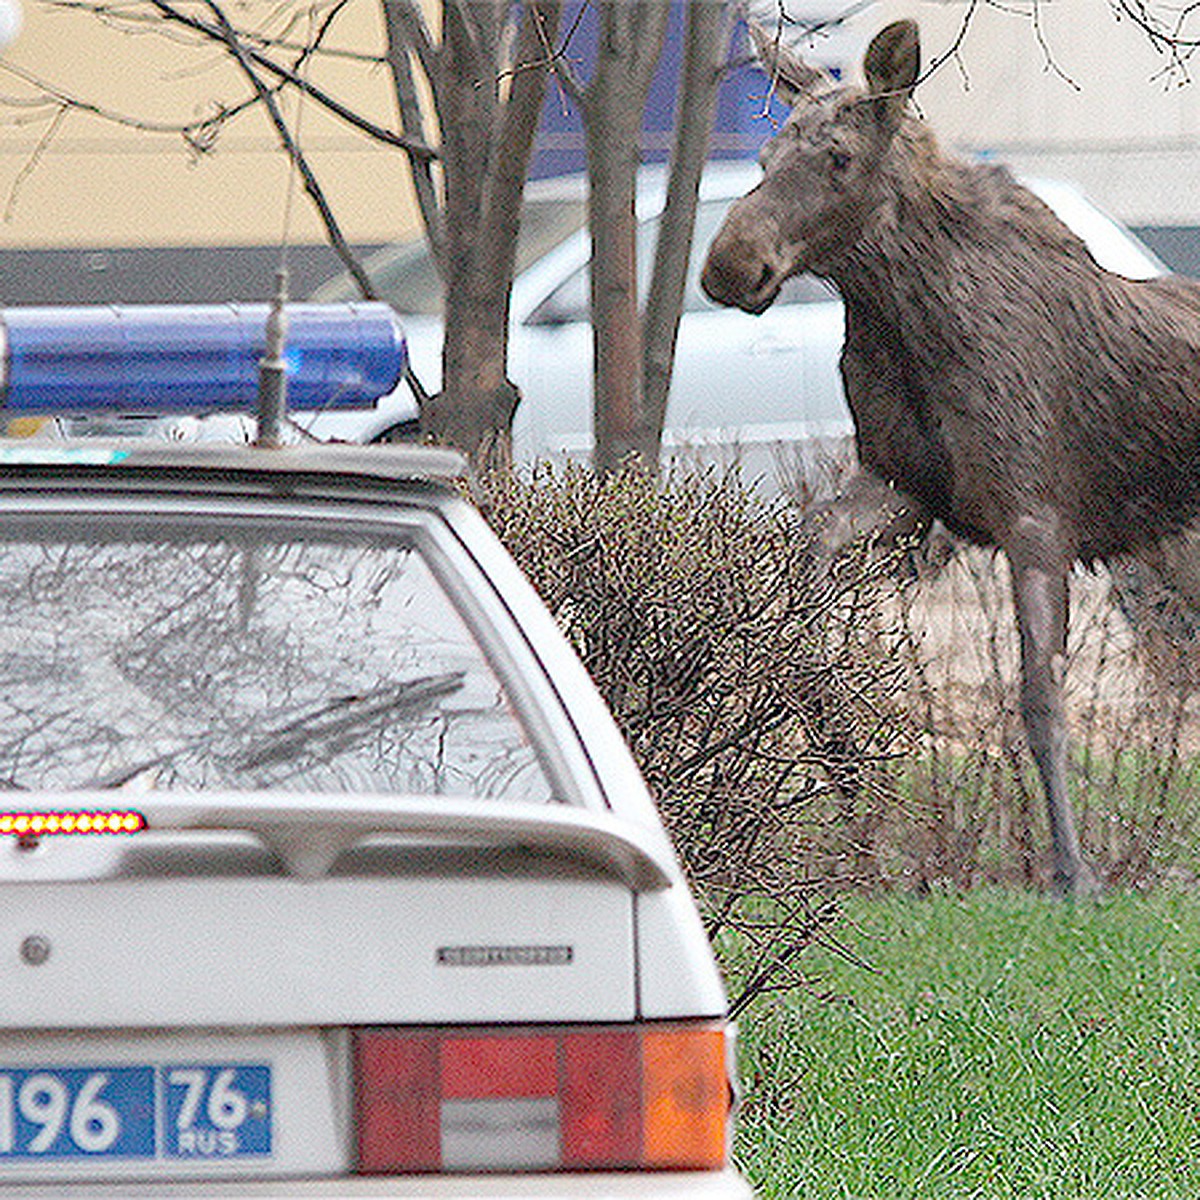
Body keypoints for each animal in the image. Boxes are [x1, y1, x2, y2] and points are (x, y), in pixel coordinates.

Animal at [700, 18, 1200, 892]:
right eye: (764, 157)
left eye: (839, 157)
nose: (731, 266)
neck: (904, 326)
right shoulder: (908, 488)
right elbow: (808, 540)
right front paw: (836, 743)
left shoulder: (1036, 516)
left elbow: (1038, 695)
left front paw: (1072, 871)